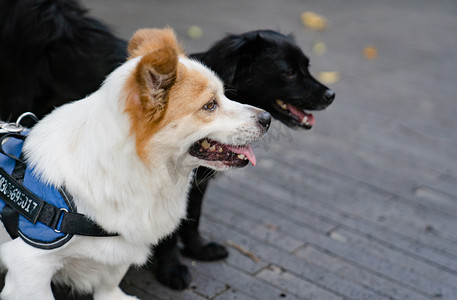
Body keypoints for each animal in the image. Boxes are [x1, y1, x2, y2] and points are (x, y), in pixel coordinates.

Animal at [154, 29, 334, 290]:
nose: (331, 95)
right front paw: (171, 269)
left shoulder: (199, 180)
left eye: (306, 67)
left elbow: (193, 215)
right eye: (289, 73)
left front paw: (198, 249)